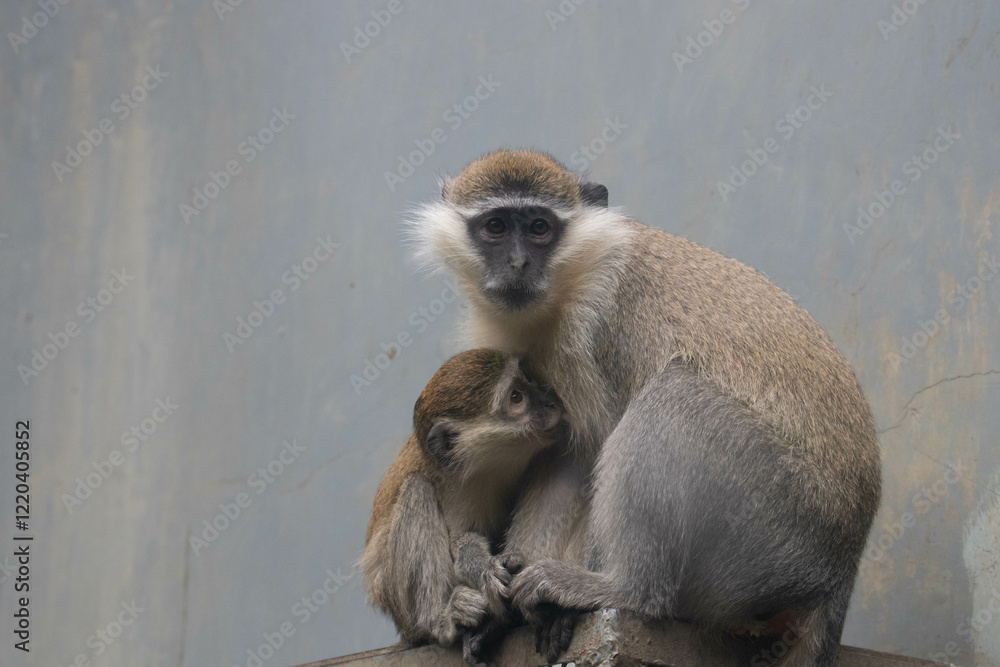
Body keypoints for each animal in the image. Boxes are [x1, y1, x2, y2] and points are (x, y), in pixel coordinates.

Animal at [360, 348, 566, 661]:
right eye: (516, 397)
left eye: (527, 380)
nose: (551, 401)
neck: (492, 465)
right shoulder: (457, 487)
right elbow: (461, 539)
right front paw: (482, 568)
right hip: (401, 606)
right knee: (416, 490)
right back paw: (441, 619)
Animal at [406, 149, 882, 666]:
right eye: (494, 226)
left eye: (539, 227)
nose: (517, 262)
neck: (567, 288)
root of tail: (840, 567)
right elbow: (567, 460)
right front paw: (497, 592)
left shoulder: (597, 330)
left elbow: (598, 446)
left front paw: (561, 609)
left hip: (783, 520)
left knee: (674, 396)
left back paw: (627, 589)